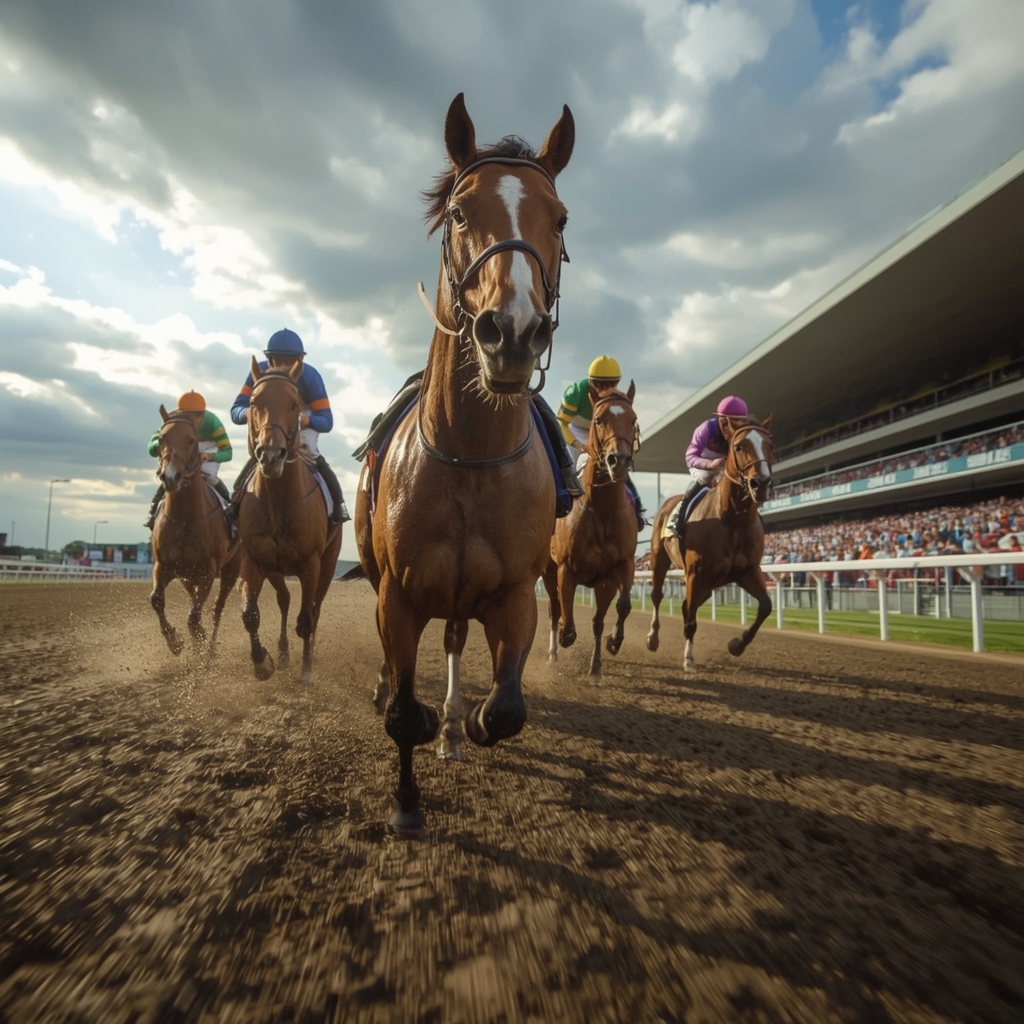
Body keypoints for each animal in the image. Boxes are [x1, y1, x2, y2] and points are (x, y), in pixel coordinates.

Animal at [149, 406, 241, 656]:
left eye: (191, 440)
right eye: (161, 439)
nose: (170, 476)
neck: (185, 519)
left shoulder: (209, 571)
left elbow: (193, 616)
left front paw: (196, 640)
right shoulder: (163, 566)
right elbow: (156, 600)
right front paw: (175, 641)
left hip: (231, 569)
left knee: (217, 608)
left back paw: (210, 650)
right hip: (187, 576)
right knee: (194, 599)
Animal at [237, 359, 342, 685]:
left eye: (295, 404)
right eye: (254, 402)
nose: (271, 455)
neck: (278, 502)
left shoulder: (311, 564)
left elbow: (306, 618)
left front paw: (306, 670)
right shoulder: (254, 559)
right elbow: (250, 613)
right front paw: (263, 662)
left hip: (328, 563)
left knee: (314, 608)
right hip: (275, 568)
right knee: (284, 599)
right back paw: (283, 654)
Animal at [354, 92, 574, 835]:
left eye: (559, 217)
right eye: (458, 212)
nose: (514, 331)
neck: (471, 459)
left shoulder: (516, 594)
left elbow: (505, 709)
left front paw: (467, 723)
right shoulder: (397, 595)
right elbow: (401, 711)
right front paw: (405, 802)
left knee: (454, 647)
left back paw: (452, 725)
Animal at [542, 383, 640, 682]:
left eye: (633, 419)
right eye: (598, 419)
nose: (618, 460)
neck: (602, 509)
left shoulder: (618, 568)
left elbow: (616, 610)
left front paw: (605, 654)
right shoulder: (566, 568)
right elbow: (566, 617)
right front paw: (565, 639)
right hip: (547, 567)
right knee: (554, 608)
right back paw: (552, 654)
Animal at [645, 415, 774, 670]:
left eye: (769, 445)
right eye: (739, 446)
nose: (762, 483)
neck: (732, 521)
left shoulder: (748, 571)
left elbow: (766, 605)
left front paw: (737, 645)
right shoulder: (696, 573)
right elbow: (691, 620)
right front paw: (688, 660)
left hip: (709, 584)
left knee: (687, 605)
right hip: (660, 560)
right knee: (658, 596)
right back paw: (653, 638)